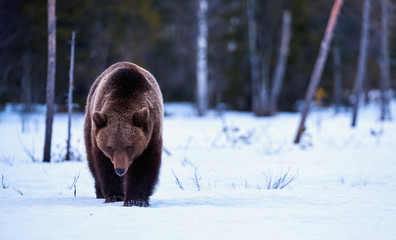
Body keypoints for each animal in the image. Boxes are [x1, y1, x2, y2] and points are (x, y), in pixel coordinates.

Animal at [84, 61, 163, 206]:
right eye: (110, 147)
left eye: (129, 147)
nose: (120, 170)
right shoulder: (99, 142)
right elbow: (104, 166)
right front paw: (115, 195)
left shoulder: (151, 134)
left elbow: (144, 165)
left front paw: (136, 199)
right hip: (90, 122)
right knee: (92, 163)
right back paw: (100, 192)